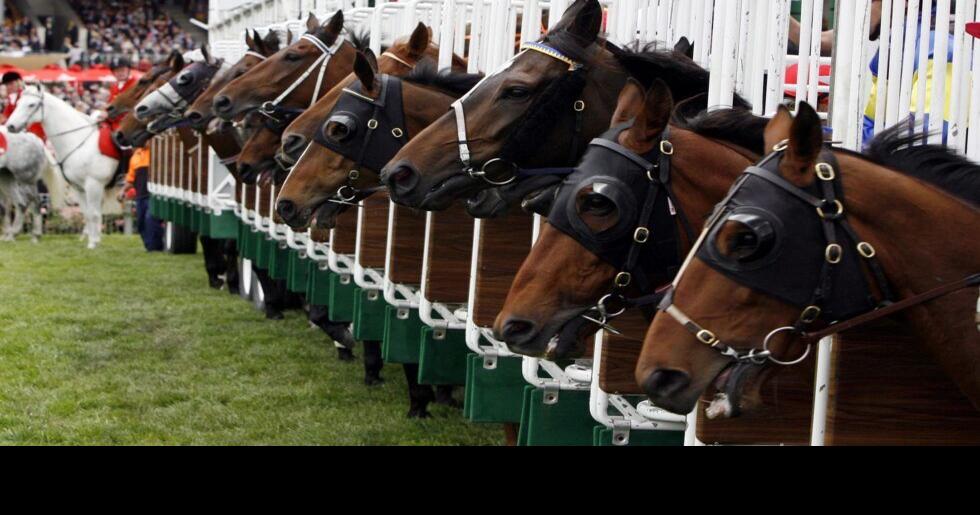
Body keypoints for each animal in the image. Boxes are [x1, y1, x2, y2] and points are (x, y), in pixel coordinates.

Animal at [5, 86, 119, 249]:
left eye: (31, 105)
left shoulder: (94, 185)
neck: (80, 142)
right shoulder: (79, 188)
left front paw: (93, 244)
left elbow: (94, 213)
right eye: (18, 103)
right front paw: (92, 240)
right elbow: (88, 214)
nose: (11, 126)